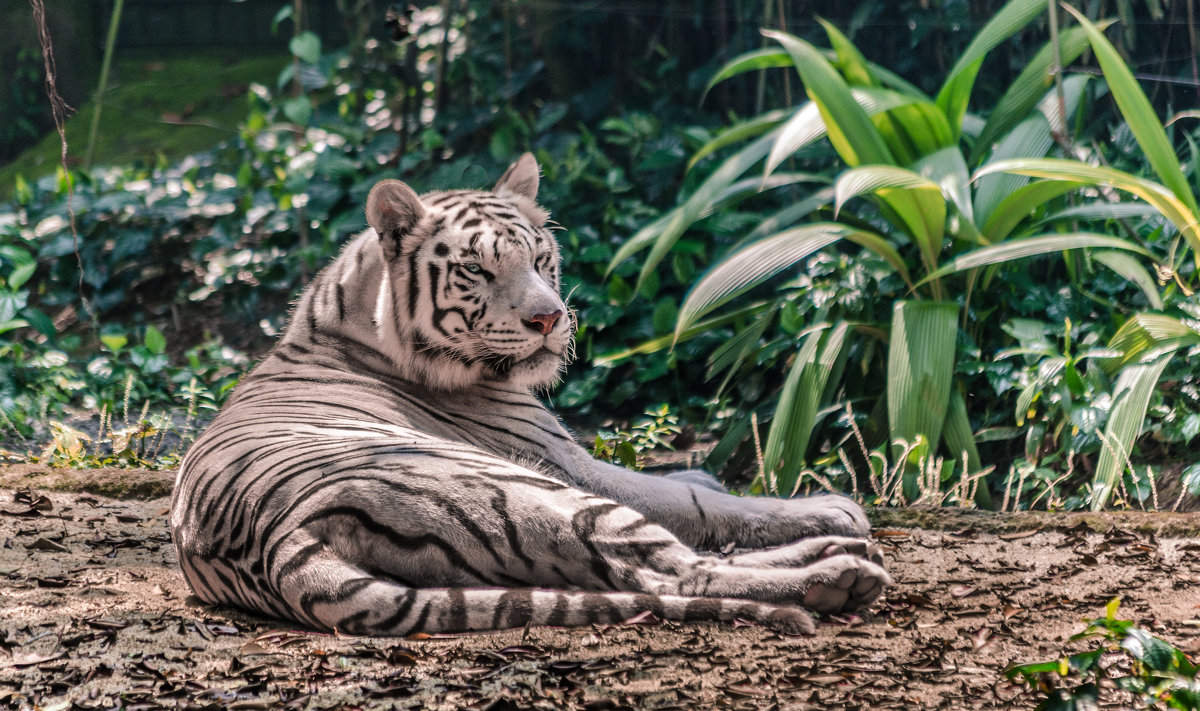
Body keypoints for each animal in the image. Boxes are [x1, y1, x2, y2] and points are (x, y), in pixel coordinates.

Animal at [169, 152, 888, 634]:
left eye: (541, 259)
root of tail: (278, 543)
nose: (550, 318)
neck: (355, 317)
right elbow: (695, 500)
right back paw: (838, 568)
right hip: (538, 493)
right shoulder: (565, 460)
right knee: (679, 569)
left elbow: (690, 482)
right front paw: (829, 508)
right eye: (477, 270)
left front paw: (705, 471)